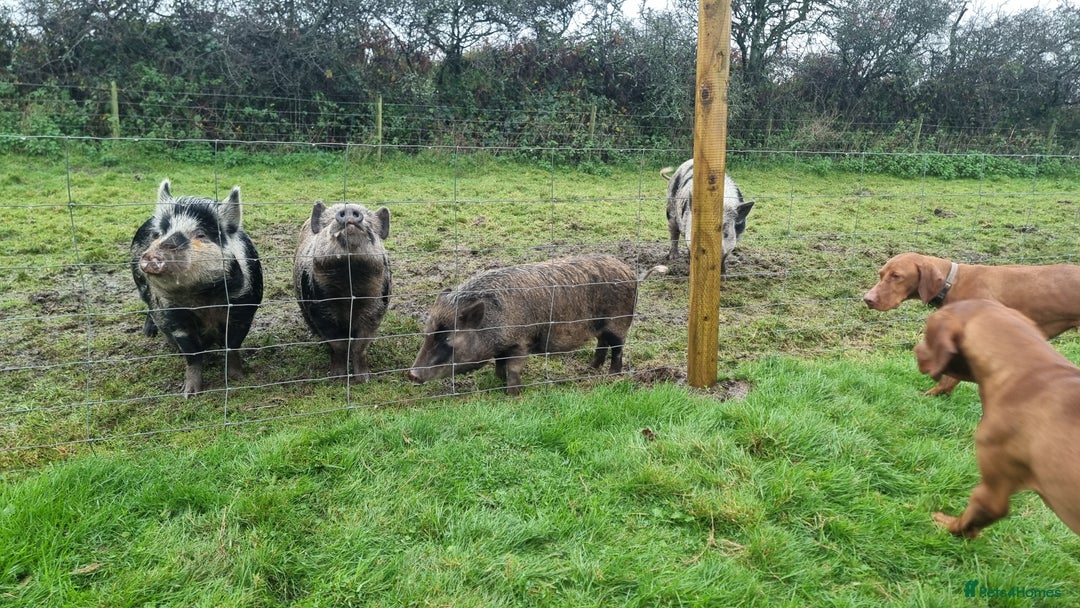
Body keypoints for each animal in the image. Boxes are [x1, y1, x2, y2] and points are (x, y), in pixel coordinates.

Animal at [131, 179, 263, 397]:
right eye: (159, 235)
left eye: (201, 234)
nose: (152, 255)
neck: (201, 296)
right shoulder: (174, 314)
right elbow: (191, 354)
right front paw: (189, 394)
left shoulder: (243, 308)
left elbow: (233, 346)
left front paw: (239, 379)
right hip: (141, 286)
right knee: (149, 306)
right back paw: (149, 334)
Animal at [293, 201, 391, 380]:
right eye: (328, 222)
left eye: (371, 223)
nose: (349, 211)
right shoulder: (320, 311)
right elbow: (338, 345)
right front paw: (336, 377)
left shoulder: (376, 310)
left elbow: (360, 346)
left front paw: (363, 379)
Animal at [407, 253, 667, 396]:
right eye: (428, 334)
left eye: (447, 338)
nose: (411, 375)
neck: (494, 322)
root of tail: (631, 273)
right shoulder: (502, 347)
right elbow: (499, 364)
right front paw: (497, 382)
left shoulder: (521, 342)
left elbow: (513, 368)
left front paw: (512, 394)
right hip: (600, 327)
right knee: (601, 345)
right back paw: (590, 370)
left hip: (618, 323)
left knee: (618, 348)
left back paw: (612, 376)